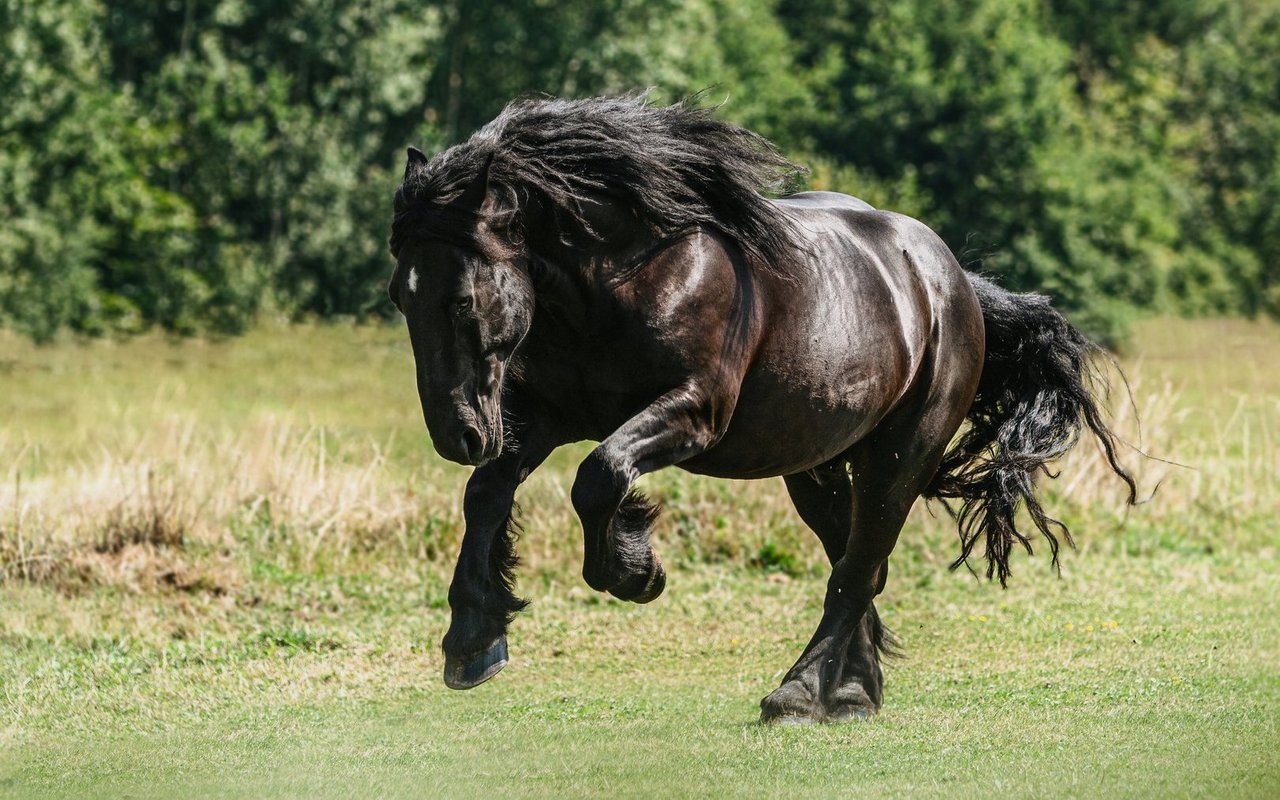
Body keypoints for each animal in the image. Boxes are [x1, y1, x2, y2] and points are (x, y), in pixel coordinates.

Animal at [388, 95, 1136, 724]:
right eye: (400, 294)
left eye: (461, 299)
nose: (456, 434)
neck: (620, 282)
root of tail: (948, 279)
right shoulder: (544, 415)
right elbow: (486, 494)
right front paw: (472, 640)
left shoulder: (692, 413)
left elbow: (599, 476)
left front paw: (636, 571)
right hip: (817, 467)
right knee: (858, 564)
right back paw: (851, 693)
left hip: (901, 457)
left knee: (857, 568)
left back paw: (799, 693)